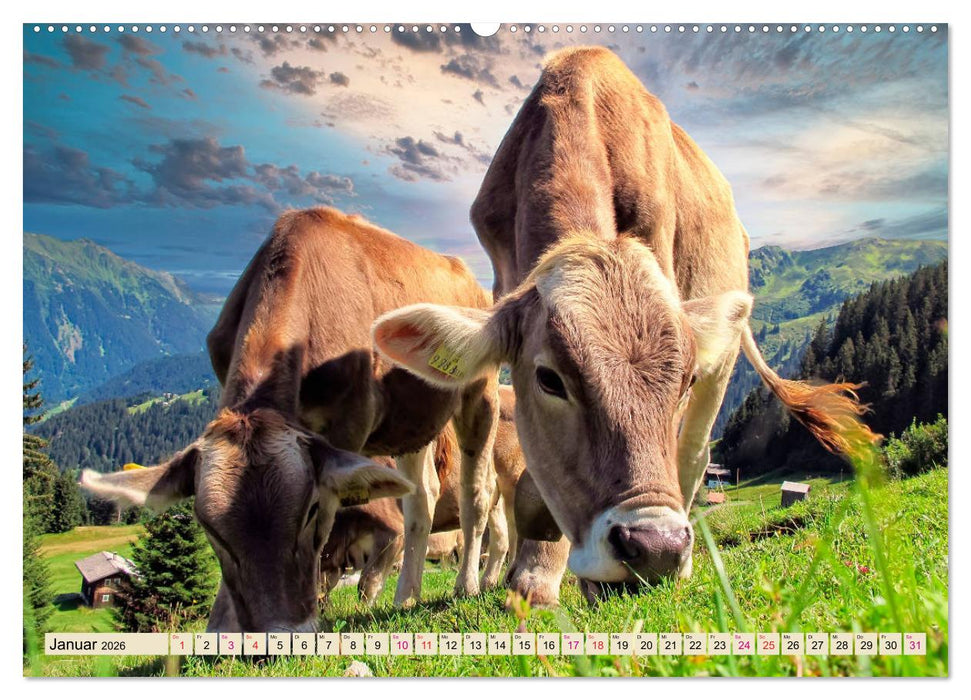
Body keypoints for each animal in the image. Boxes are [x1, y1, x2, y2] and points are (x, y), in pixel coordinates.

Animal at [81, 207, 501, 629]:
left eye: (310, 510)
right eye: (208, 528)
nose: (280, 629)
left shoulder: (348, 425)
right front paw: (221, 624)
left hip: (480, 394)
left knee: (476, 493)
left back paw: (467, 585)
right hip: (411, 421)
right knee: (422, 496)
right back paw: (406, 596)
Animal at [320, 385, 526, 605]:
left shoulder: (392, 531)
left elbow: (367, 582)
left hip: (513, 479)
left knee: (515, 530)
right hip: (495, 500)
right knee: (501, 537)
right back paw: (489, 582)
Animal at [372, 47, 879, 605]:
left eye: (684, 380)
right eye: (549, 379)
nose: (657, 548)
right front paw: (532, 576)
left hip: (722, 363)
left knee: (694, 454)